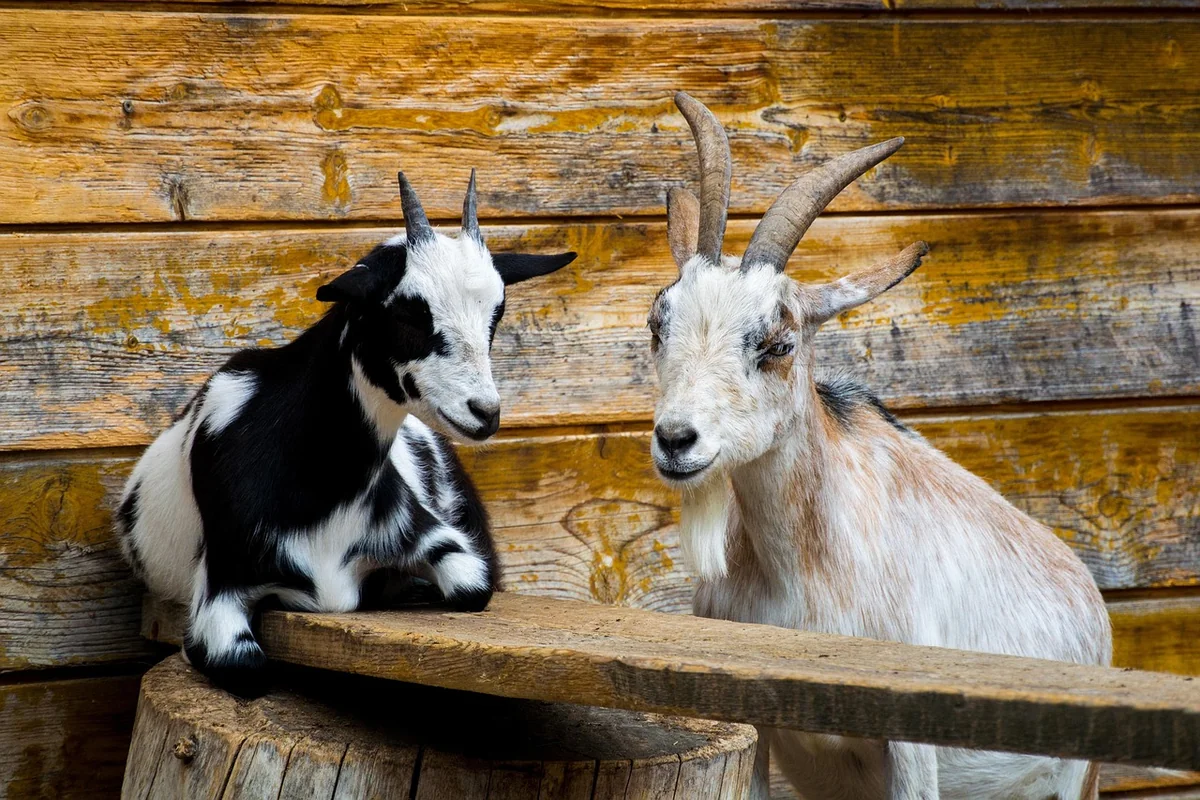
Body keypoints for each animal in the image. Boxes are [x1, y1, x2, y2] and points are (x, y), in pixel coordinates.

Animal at [116, 171, 576, 694]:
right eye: (408, 313)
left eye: (496, 315)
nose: (484, 412)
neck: (315, 481)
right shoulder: (222, 586)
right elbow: (246, 668)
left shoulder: (431, 537)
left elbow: (471, 587)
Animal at [647, 92, 1111, 799]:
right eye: (657, 323)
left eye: (779, 343)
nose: (676, 441)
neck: (803, 573)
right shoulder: (752, 724)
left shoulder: (911, 743)